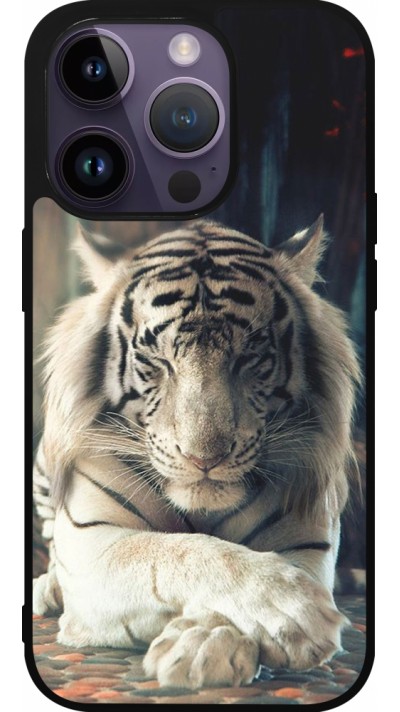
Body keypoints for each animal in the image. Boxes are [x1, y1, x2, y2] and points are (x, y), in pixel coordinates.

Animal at [33, 216, 360, 690]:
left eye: (250, 357)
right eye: (157, 360)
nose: (204, 459)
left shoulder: (307, 541)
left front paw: (205, 644)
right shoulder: (93, 542)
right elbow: (178, 551)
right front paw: (291, 609)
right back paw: (47, 588)